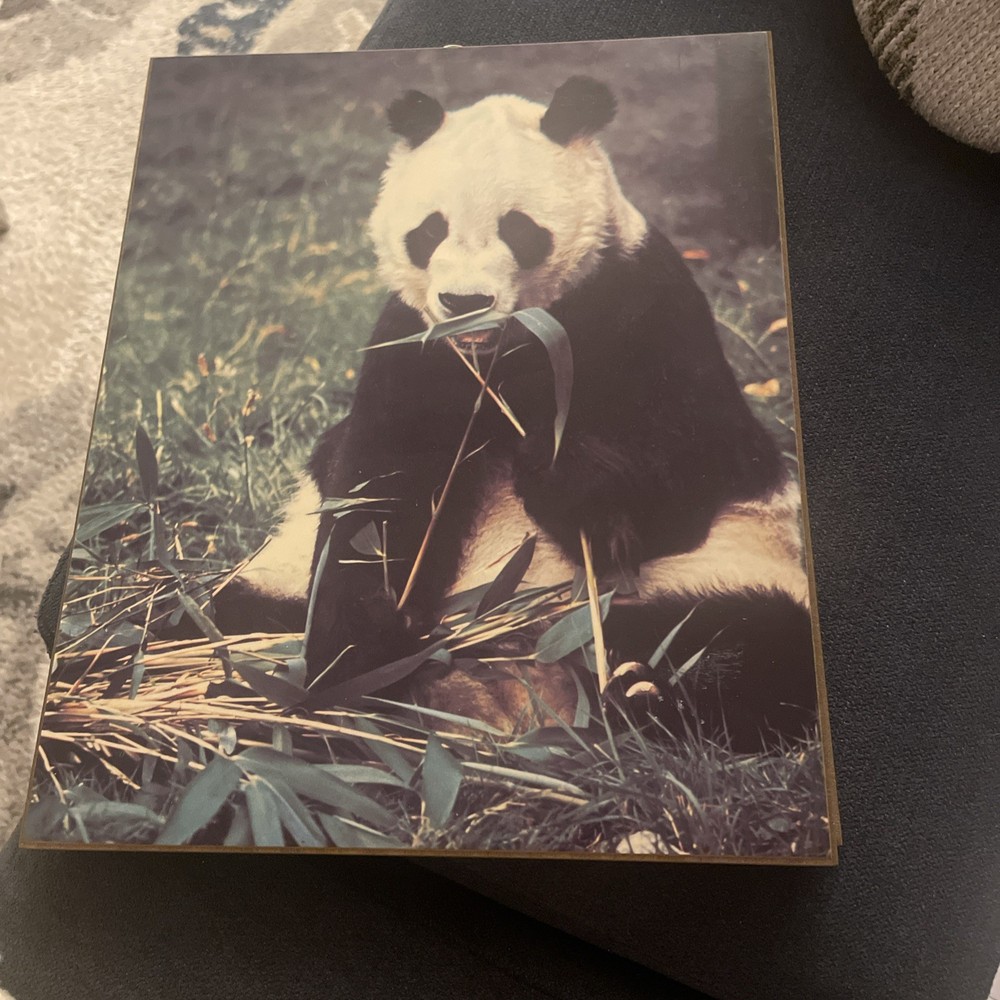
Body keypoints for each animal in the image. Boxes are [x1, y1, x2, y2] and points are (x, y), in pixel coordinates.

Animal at [218, 76, 819, 753]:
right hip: (274, 575)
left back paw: (640, 694)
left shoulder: (642, 303)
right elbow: (376, 494)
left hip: (701, 581)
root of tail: (510, 692)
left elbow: (690, 470)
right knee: (234, 618)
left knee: (750, 644)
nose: (465, 302)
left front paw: (565, 478)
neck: (503, 353)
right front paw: (363, 647)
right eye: (429, 231)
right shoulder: (413, 345)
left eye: (519, 229)